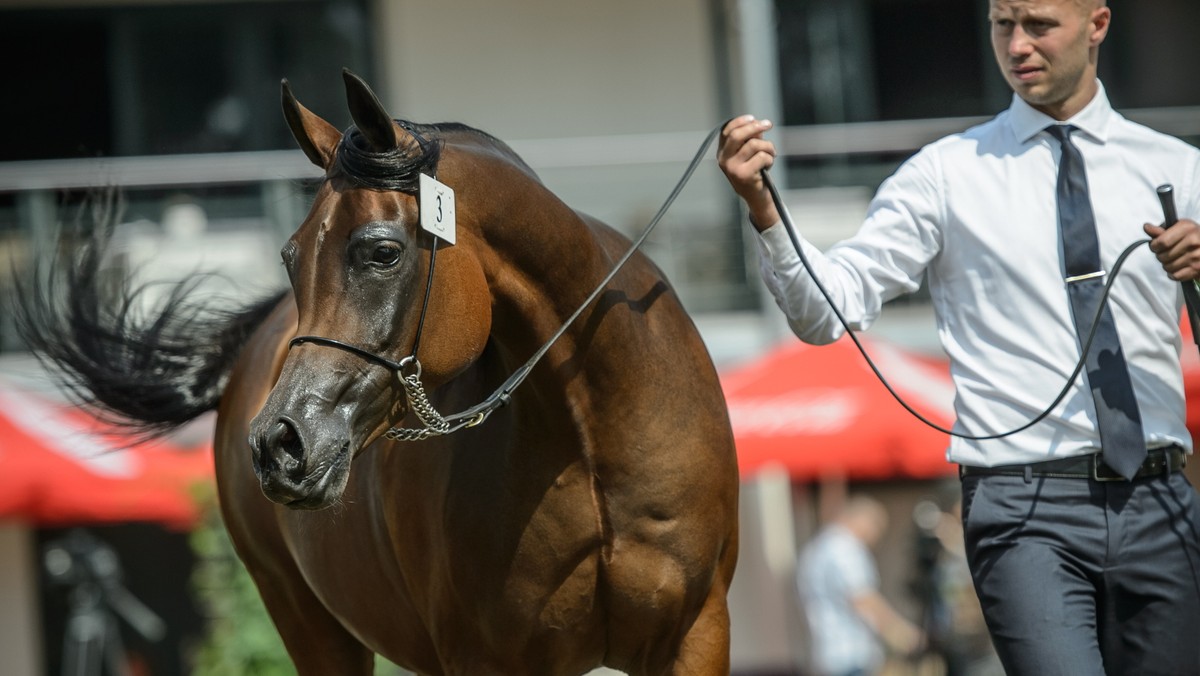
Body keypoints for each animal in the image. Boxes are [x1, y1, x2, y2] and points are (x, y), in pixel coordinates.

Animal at [18, 71, 739, 672]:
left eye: (383, 252)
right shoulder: (484, 658)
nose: (280, 444)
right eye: (291, 255)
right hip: (310, 626)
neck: (594, 432)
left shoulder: (695, 636)